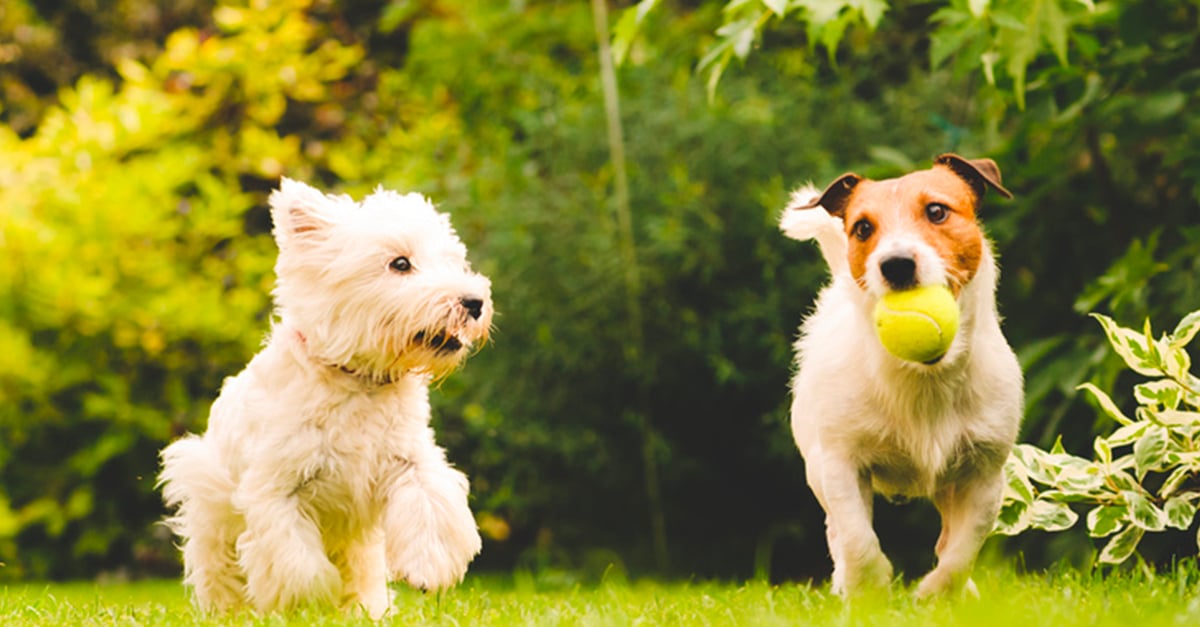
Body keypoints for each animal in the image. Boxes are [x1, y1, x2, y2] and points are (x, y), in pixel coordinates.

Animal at [159, 176, 492, 614]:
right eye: (400, 263)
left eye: (454, 261)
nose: (474, 302)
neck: (359, 380)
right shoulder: (277, 488)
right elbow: (298, 564)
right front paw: (310, 602)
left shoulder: (409, 460)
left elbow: (428, 503)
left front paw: (427, 569)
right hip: (210, 507)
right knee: (220, 570)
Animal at [782, 152, 1027, 595]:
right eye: (862, 228)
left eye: (937, 211)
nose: (895, 265)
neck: (924, 376)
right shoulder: (840, 464)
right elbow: (857, 537)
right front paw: (870, 584)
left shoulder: (985, 473)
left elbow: (964, 547)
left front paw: (937, 592)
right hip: (818, 469)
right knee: (837, 530)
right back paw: (845, 582)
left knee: (948, 538)